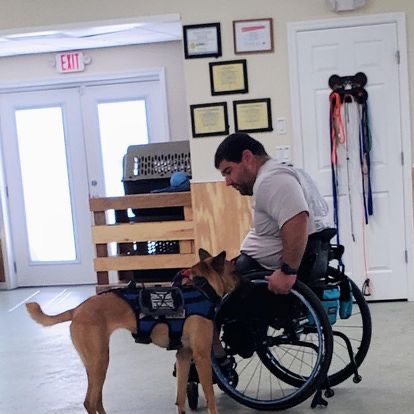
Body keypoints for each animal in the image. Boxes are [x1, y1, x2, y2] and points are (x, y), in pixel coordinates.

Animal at [26, 249, 239, 414]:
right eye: (234, 271)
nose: (244, 280)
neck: (202, 288)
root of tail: (77, 309)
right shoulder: (202, 357)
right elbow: (210, 397)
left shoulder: (184, 356)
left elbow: (180, 398)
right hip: (100, 361)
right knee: (90, 401)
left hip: (94, 366)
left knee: (97, 399)